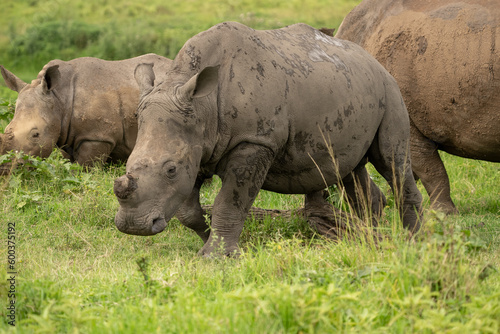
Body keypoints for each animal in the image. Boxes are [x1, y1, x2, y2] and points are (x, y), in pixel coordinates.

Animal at [0, 54, 172, 170]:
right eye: (7, 129)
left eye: (36, 134)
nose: (6, 169)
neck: (59, 97)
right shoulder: (65, 134)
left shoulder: (97, 136)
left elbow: (83, 170)